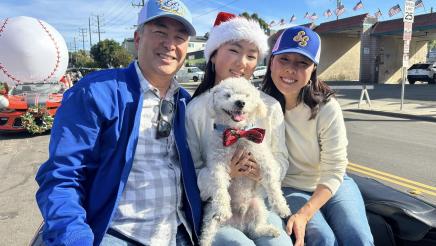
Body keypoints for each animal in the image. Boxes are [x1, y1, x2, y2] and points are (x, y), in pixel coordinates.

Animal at [200, 78, 290, 246]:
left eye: (247, 96)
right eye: (227, 95)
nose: (240, 102)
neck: (238, 134)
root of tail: (239, 225)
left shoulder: (264, 159)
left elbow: (273, 183)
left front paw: (281, 207)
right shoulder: (217, 164)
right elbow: (219, 184)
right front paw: (223, 208)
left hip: (258, 206)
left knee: (256, 229)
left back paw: (269, 230)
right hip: (210, 215)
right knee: (207, 234)